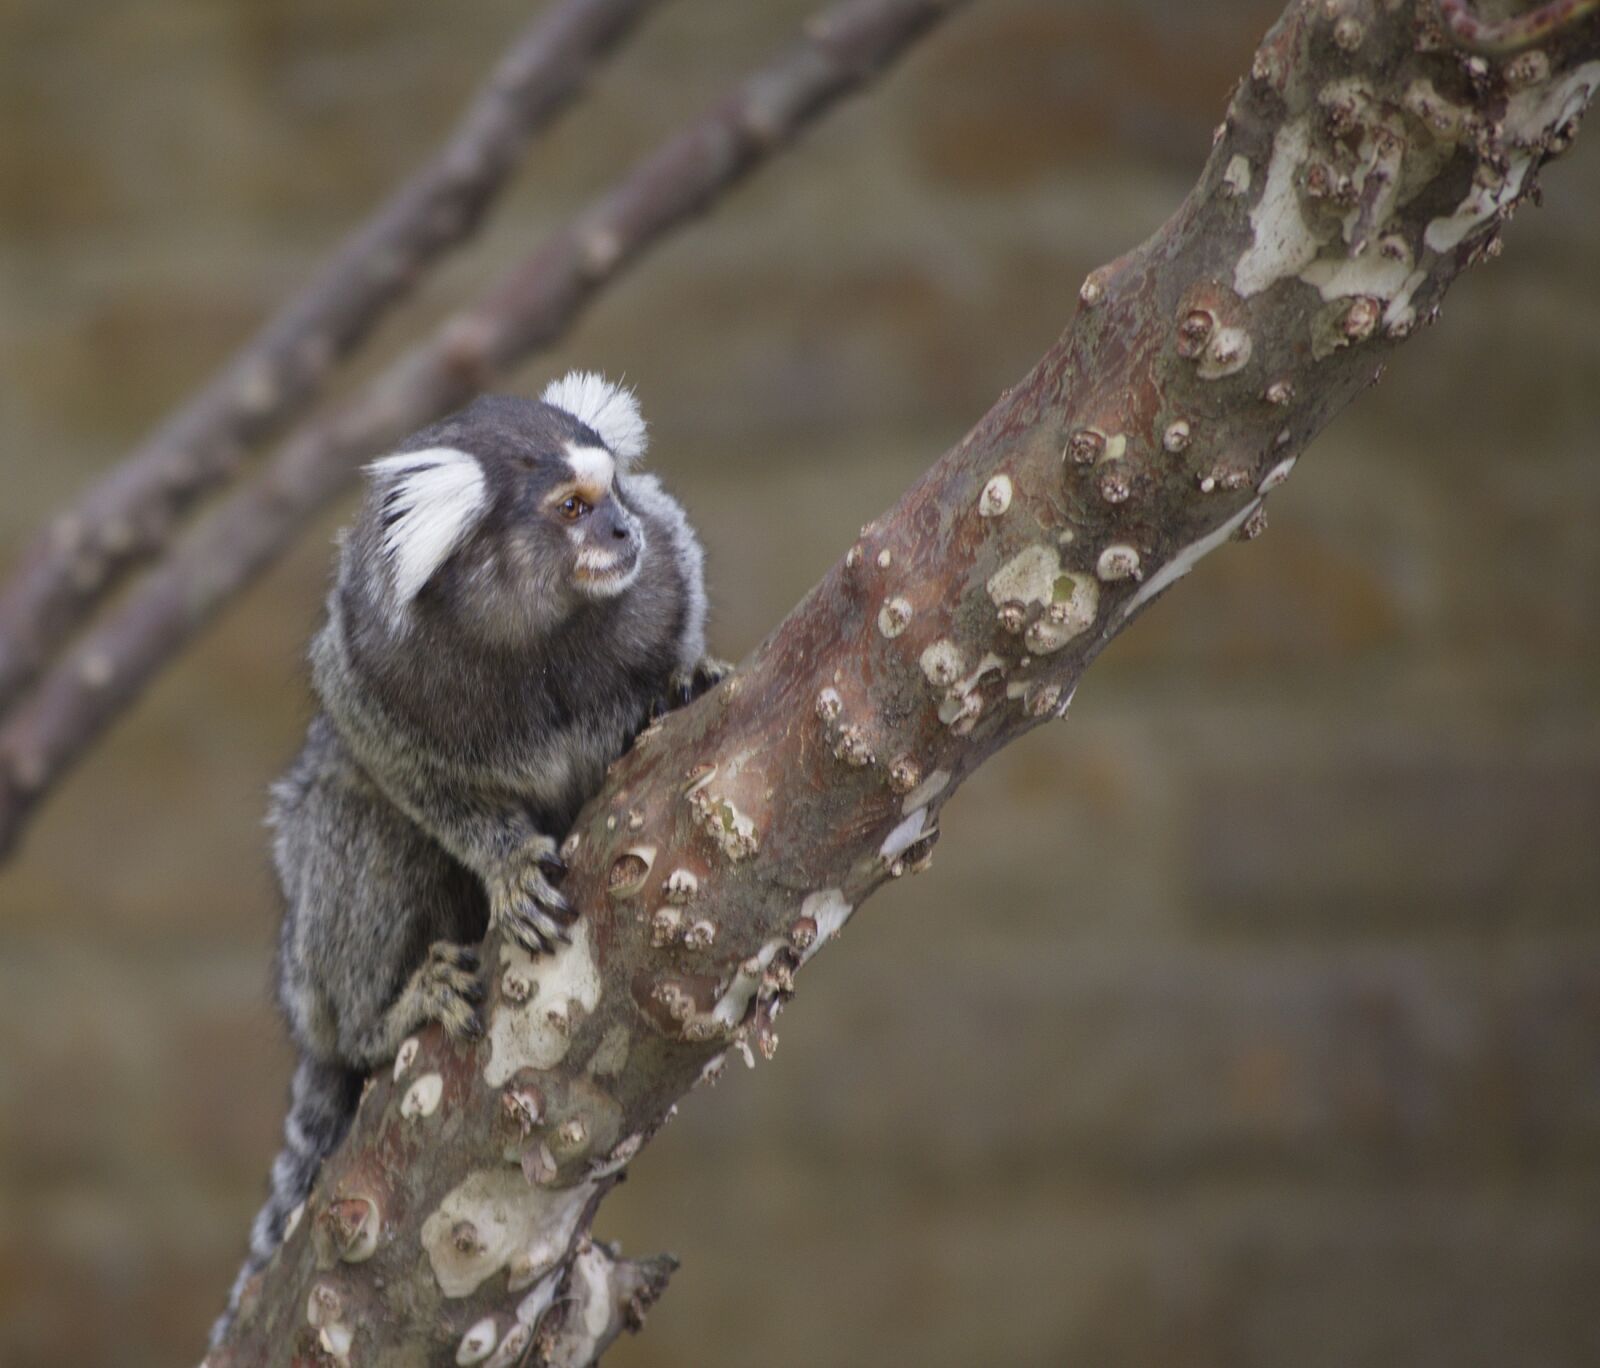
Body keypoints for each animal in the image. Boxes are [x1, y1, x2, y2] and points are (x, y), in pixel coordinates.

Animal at [212, 373, 723, 1345]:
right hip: (314, 969)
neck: (536, 635)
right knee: (362, 828)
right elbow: (400, 770)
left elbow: (675, 646)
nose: (622, 533)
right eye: (572, 509)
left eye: (615, 493)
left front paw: (682, 687)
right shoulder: (369, 658)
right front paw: (506, 867)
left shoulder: (669, 577)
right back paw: (387, 1016)